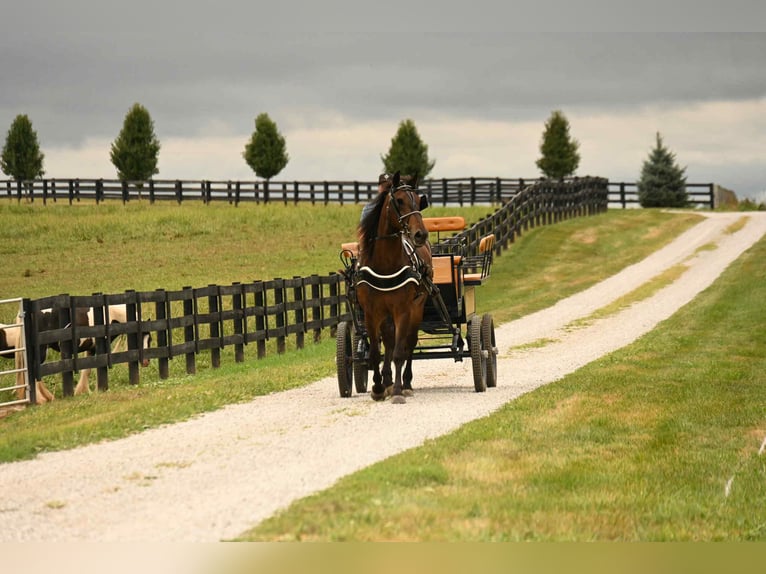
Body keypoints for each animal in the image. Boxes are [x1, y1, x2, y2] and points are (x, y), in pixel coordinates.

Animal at [356, 171, 432, 404]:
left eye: (418, 200)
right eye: (399, 200)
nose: (420, 234)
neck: (385, 264)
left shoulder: (403, 310)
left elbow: (400, 352)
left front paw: (398, 390)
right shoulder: (371, 312)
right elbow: (374, 353)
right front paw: (379, 387)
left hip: (417, 308)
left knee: (409, 344)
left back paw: (405, 383)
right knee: (389, 342)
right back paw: (388, 381)